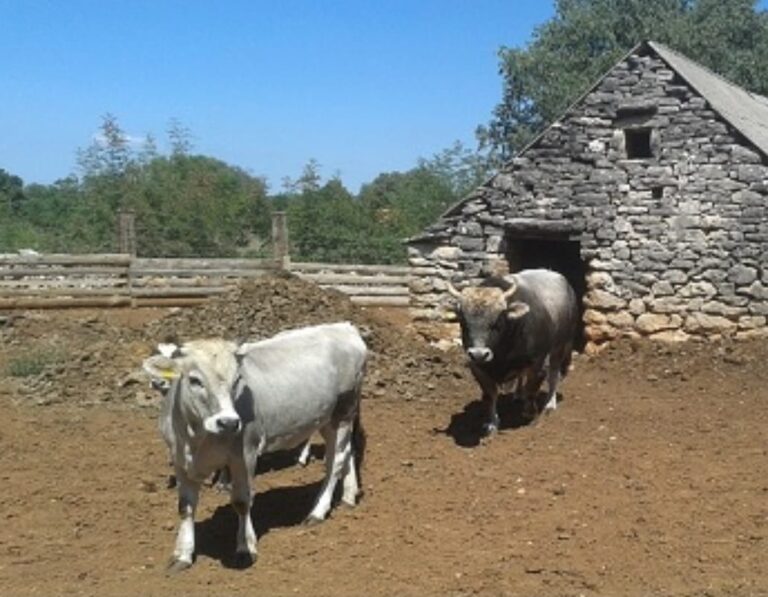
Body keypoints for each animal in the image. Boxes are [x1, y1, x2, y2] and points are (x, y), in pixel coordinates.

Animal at [145, 322, 372, 568]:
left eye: (237, 380)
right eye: (194, 380)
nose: (228, 422)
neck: (197, 437)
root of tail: (344, 327)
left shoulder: (245, 454)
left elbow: (242, 501)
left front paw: (245, 548)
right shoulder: (180, 460)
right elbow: (185, 507)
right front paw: (182, 555)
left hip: (343, 413)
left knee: (335, 462)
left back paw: (317, 512)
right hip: (327, 420)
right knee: (347, 452)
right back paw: (349, 496)